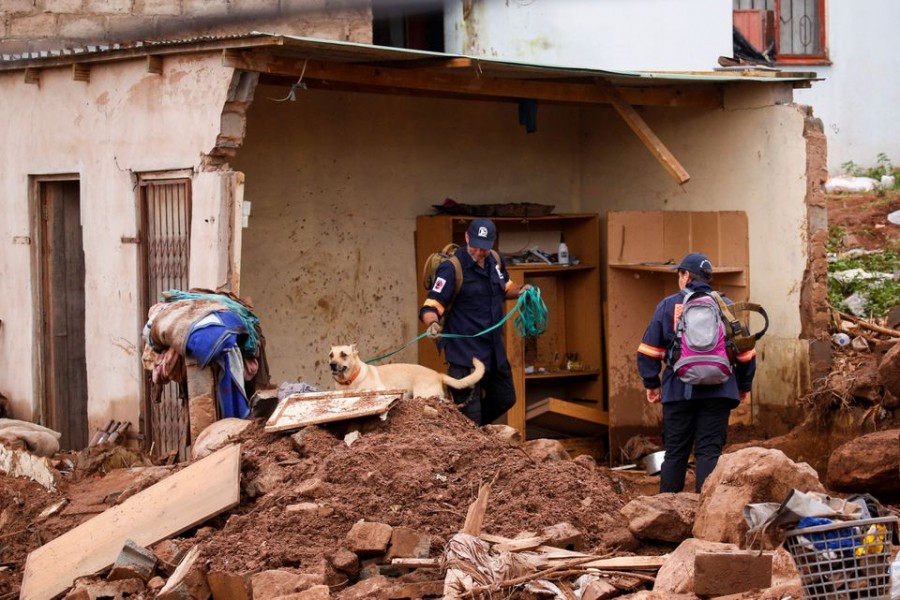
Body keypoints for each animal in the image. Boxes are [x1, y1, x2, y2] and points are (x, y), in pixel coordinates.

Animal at [328, 344, 486, 400]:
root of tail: (437, 374)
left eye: (344, 354)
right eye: (331, 355)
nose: (332, 365)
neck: (349, 382)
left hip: (423, 395)